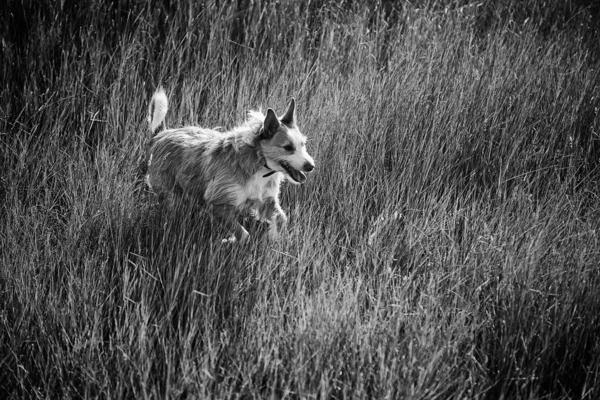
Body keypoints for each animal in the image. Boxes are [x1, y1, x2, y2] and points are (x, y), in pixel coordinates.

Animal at [146, 88, 316, 242]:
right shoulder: (218, 203)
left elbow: (281, 218)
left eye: (303, 144)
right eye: (288, 147)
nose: (311, 166)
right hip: (169, 192)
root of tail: (162, 134)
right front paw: (233, 242)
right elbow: (244, 235)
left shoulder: (266, 199)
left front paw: (273, 237)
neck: (259, 162)